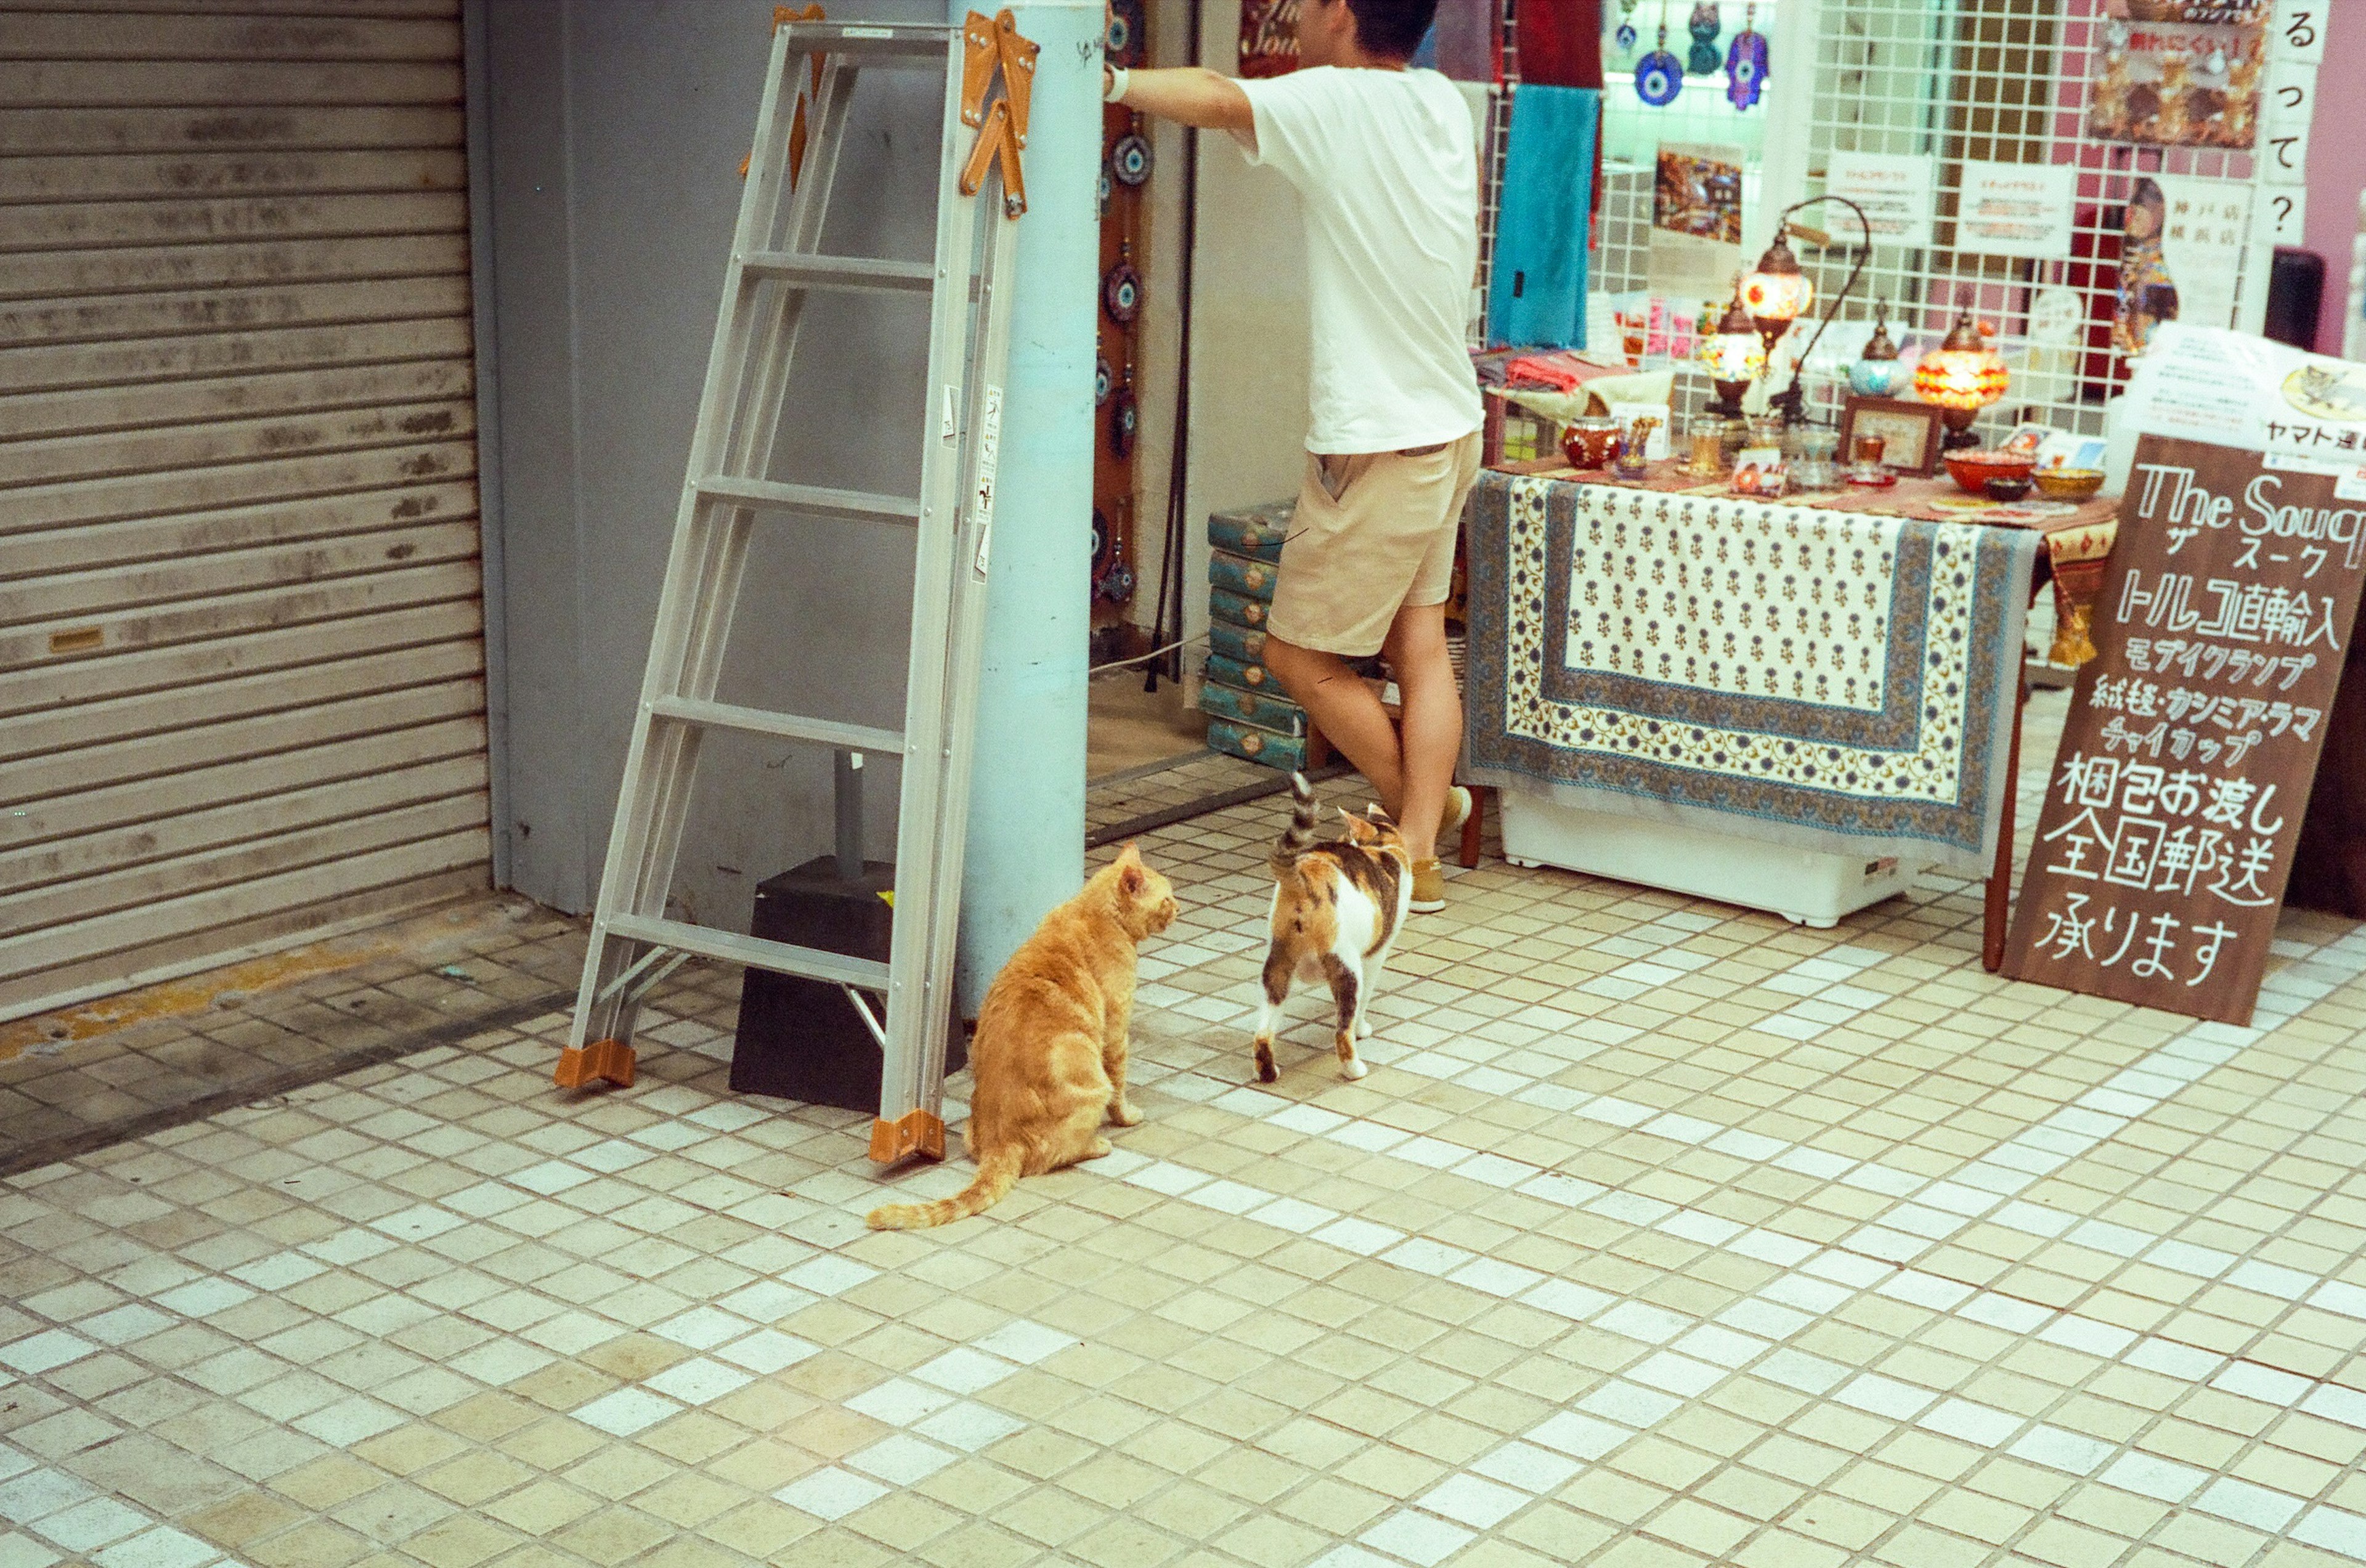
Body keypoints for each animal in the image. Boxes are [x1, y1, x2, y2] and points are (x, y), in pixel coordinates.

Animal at [866, 842, 1178, 1230]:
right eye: (1167, 899)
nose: (1179, 907)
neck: (1092, 910)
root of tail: (1002, 1141)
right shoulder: (1116, 1032)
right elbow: (1120, 1085)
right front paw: (1127, 1116)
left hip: (972, 1131)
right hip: (1092, 1085)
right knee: (1056, 1155)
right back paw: (1097, 1145)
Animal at [1249, 771, 1410, 1087]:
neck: (1380, 847)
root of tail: (1302, 879)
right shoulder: (1376, 954)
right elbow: (1364, 1001)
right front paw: (1362, 1028)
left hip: (1276, 967)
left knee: (1262, 1034)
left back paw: (1268, 1073)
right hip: (1347, 966)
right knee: (1342, 1034)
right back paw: (1355, 1069)